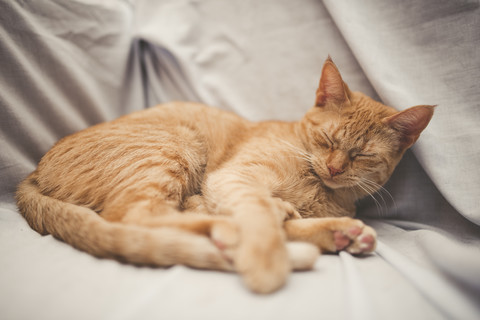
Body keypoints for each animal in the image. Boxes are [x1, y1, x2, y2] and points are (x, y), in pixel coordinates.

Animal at [15, 57, 436, 292]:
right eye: (327, 139)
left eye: (361, 155)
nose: (334, 167)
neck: (322, 190)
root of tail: (32, 173)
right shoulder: (235, 178)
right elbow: (257, 214)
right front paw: (267, 264)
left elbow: (272, 216)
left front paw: (329, 229)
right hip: (173, 146)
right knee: (133, 216)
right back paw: (234, 233)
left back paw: (337, 234)